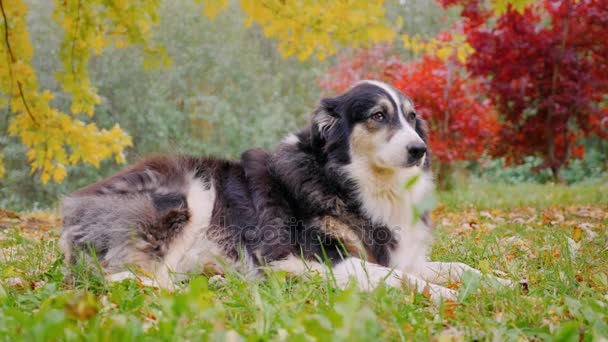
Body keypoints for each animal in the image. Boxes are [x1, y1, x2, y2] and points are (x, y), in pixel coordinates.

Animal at [59, 81, 510, 300]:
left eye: (412, 117)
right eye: (378, 116)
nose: (420, 150)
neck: (353, 181)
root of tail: (73, 204)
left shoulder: (404, 254)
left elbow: (458, 267)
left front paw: (498, 282)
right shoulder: (316, 256)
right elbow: (400, 279)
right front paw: (444, 295)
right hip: (191, 192)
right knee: (130, 275)